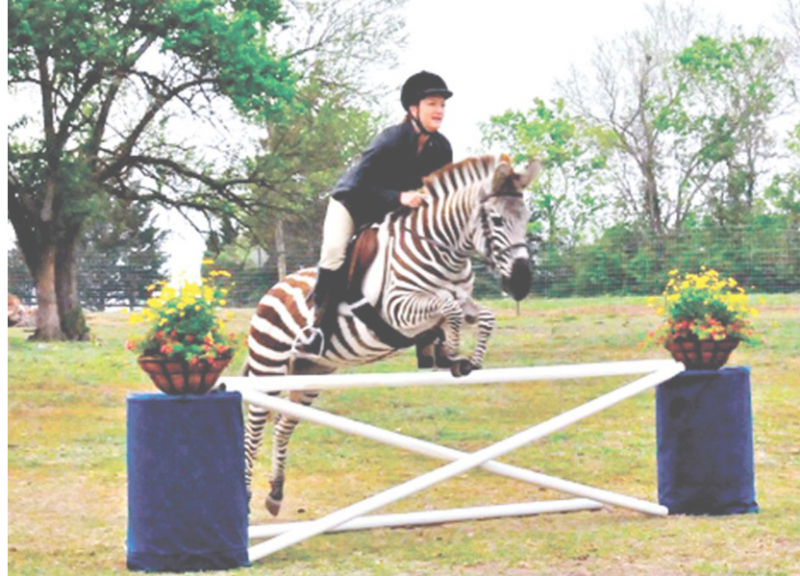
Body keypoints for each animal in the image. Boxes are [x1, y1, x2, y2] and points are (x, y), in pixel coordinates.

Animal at [244, 154, 540, 515]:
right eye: (496, 220)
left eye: (525, 218)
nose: (521, 284)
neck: (442, 251)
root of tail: (271, 291)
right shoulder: (399, 310)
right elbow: (449, 311)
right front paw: (451, 353)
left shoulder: (461, 302)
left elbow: (484, 316)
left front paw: (468, 359)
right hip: (268, 366)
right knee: (254, 427)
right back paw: (246, 495)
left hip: (310, 372)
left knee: (283, 425)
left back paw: (275, 494)